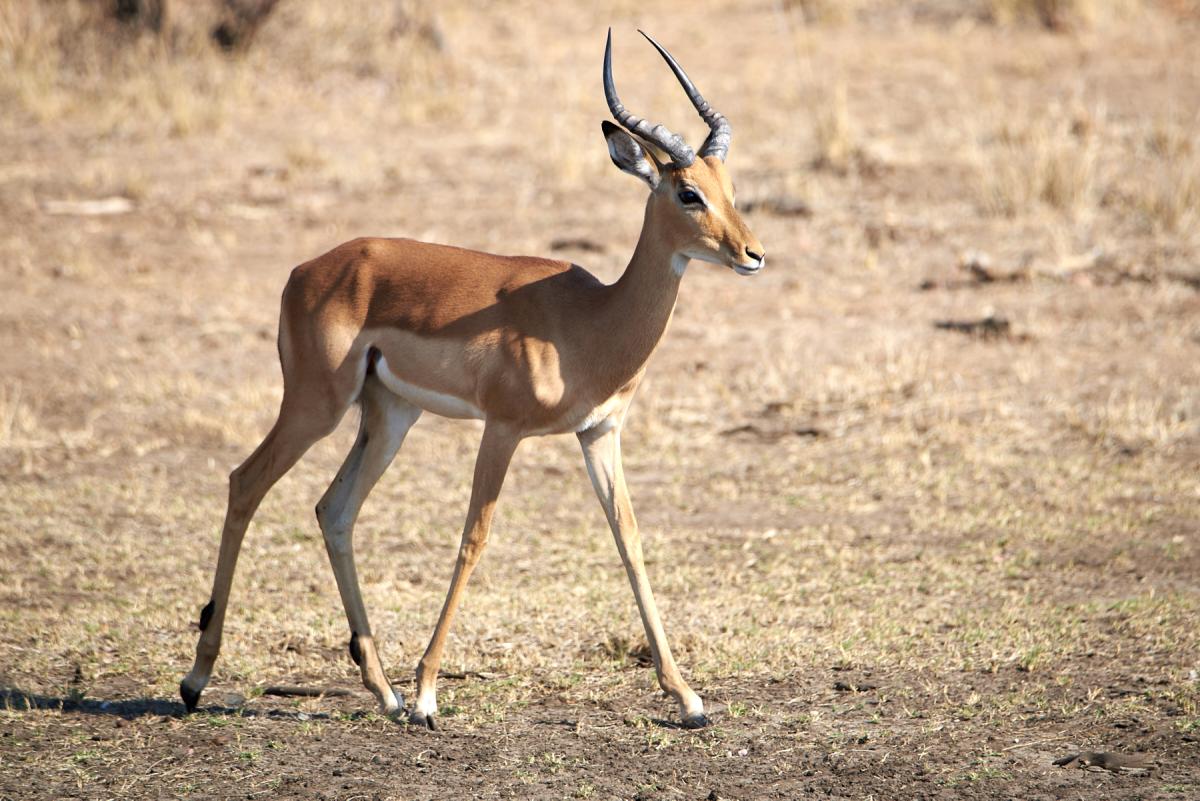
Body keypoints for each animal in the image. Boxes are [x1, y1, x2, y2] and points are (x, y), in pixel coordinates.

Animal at [181, 30, 764, 730]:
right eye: (688, 194)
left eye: (729, 185)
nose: (753, 254)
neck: (590, 322)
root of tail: (306, 270)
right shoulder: (503, 428)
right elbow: (474, 538)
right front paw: (430, 694)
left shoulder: (599, 434)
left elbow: (629, 539)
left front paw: (688, 699)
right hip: (315, 405)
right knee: (245, 482)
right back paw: (196, 680)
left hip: (390, 417)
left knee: (334, 509)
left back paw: (384, 691)